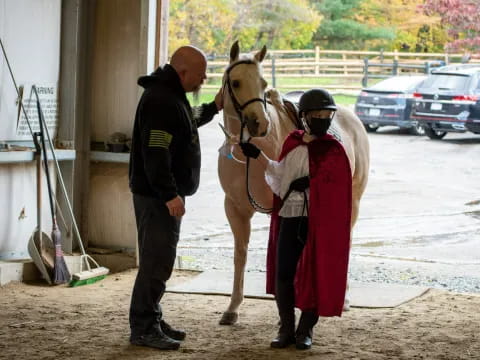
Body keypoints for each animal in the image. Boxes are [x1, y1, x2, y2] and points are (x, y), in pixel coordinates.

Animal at [218, 40, 372, 324]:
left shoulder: (281, 207)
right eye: (235, 82)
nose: (260, 123)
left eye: (263, 82)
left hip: (352, 201)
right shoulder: (235, 208)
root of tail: (352, 117)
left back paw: (342, 299)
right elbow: (240, 254)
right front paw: (233, 308)